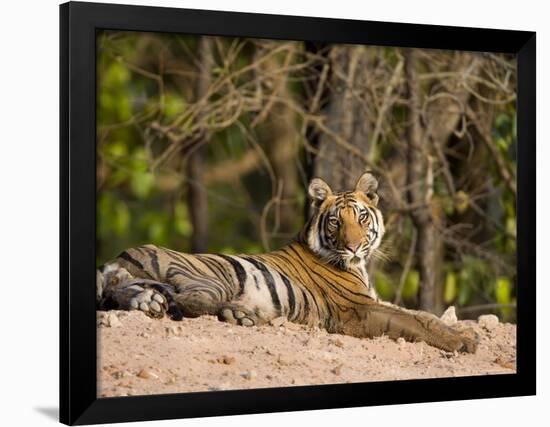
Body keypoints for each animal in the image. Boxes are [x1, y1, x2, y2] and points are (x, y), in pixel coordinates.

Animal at [98, 172, 478, 352]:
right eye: (336, 222)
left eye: (361, 217)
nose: (354, 246)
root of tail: (122, 254)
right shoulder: (357, 309)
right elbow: (414, 322)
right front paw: (460, 342)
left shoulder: (373, 299)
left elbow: (423, 314)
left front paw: (464, 332)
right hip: (210, 276)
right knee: (190, 302)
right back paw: (244, 315)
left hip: (136, 281)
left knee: (126, 294)